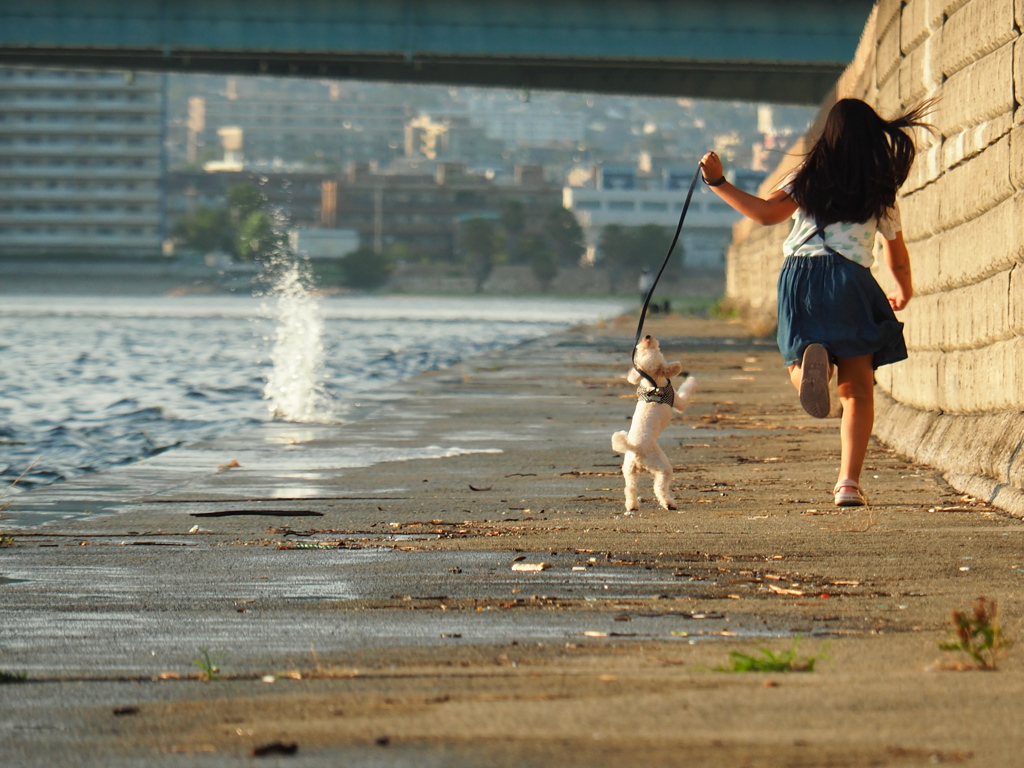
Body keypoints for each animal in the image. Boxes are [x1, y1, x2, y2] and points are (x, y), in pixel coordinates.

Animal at [610, 335, 700, 512]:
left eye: (642, 350)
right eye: (651, 348)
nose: (647, 336)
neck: (652, 383)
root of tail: (635, 448)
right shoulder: (678, 402)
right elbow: (685, 391)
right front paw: (691, 379)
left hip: (629, 471)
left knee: (630, 488)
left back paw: (632, 506)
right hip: (662, 466)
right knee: (660, 487)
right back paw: (669, 503)